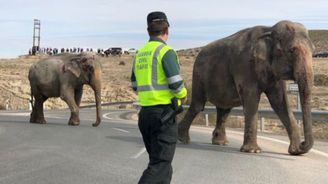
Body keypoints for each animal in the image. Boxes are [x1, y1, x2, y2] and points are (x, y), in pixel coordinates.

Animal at [179, 20, 316, 155]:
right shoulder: (245, 66)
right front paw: (253, 151)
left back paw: (220, 142)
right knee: (198, 105)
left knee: (224, 109)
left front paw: (295, 151)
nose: (302, 143)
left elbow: (280, 103)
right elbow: (252, 101)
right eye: (292, 50)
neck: (269, 29)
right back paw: (183, 139)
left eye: (313, 50)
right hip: (198, 75)